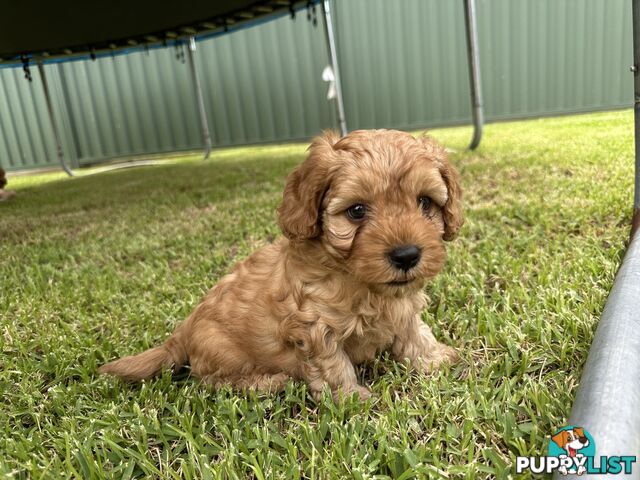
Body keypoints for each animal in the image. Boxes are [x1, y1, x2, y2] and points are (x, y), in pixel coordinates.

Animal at [102, 129, 464, 400]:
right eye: (357, 211)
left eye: (424, 203)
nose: (406, 255)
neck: (361, 281)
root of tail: (182, 331)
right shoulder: (314, 326)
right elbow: (332, 366)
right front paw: (350, 399)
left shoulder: (404, 306)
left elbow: (414, 332)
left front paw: (435, 359)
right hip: (221, 352)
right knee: (212, 380)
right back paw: (268, 381)